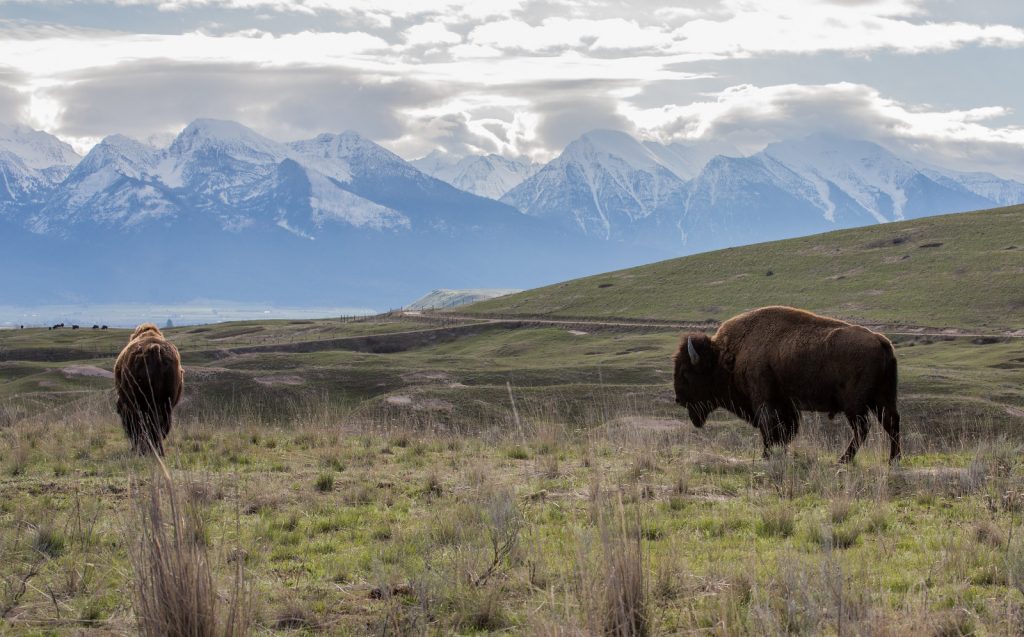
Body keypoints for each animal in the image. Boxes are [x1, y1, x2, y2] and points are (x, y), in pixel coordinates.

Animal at [113, 323, 184, 455]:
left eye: (120, 412)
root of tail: (155, 349)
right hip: (166, 405)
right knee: (161, 426)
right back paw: (159, 451)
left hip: (144, 405)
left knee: (148, 426)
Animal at [673, 306, 900, 463]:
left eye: (685, 372)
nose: (679, 399)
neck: (725, 356)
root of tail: (880, 340)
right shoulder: (786, 405)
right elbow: (785, 430)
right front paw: (779, 452)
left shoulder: (763, 400)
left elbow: (769, 427)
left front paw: (766, 455)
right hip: (882, 398)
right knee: (891, 422)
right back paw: (893, 460)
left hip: (855, 404)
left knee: (863, 428)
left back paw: (844, 460)